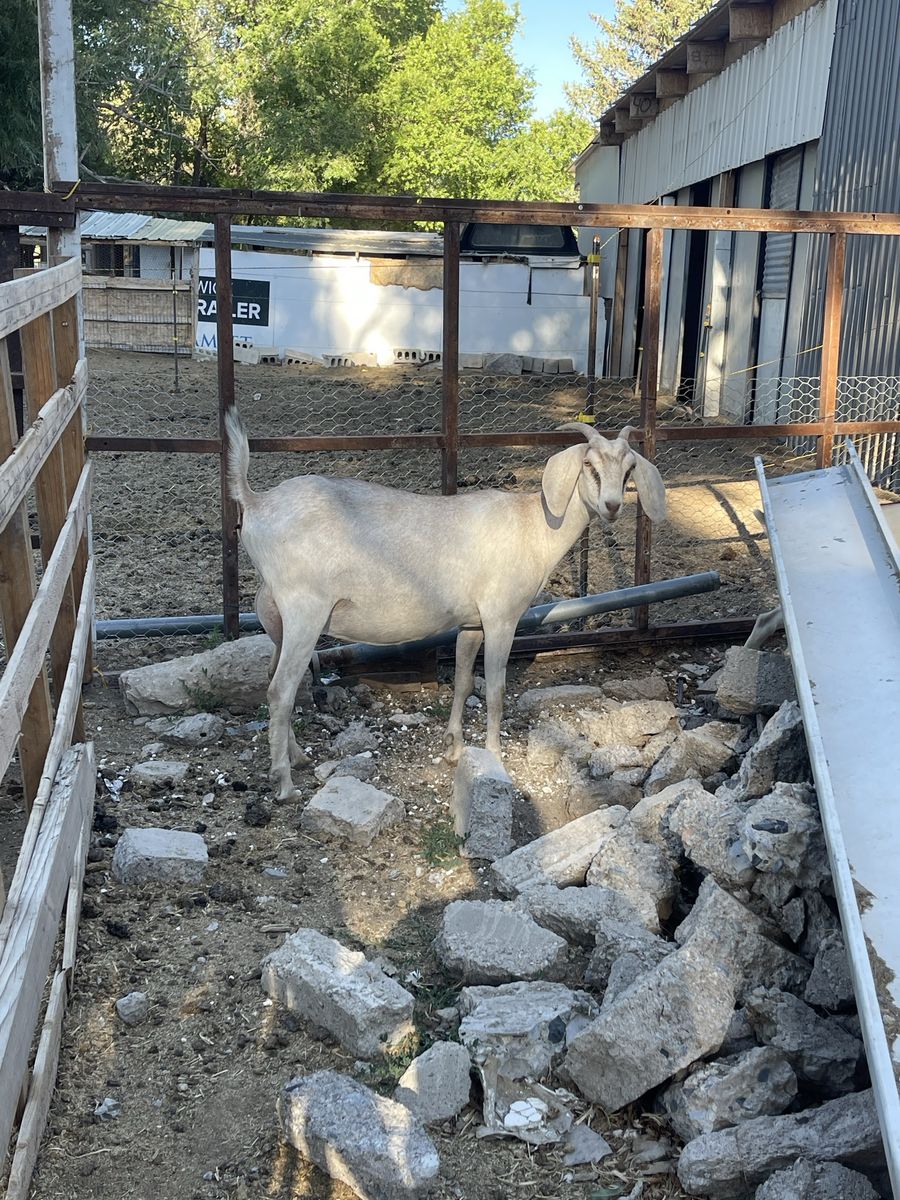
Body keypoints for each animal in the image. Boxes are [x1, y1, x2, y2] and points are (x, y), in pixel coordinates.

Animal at [225, 412, 667, 800]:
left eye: (629, 469)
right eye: (590, 465)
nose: (612, 506)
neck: (534, 525)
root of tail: (256, 501)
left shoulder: (471, 621)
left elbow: (463, 680)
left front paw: (454, 746)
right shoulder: (501, 616)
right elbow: (496, 690)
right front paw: (495, 756)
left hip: (276, 616)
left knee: (275, 679)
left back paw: (296, 756)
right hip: (306, 610)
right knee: (281, 690)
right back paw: (284, 783)